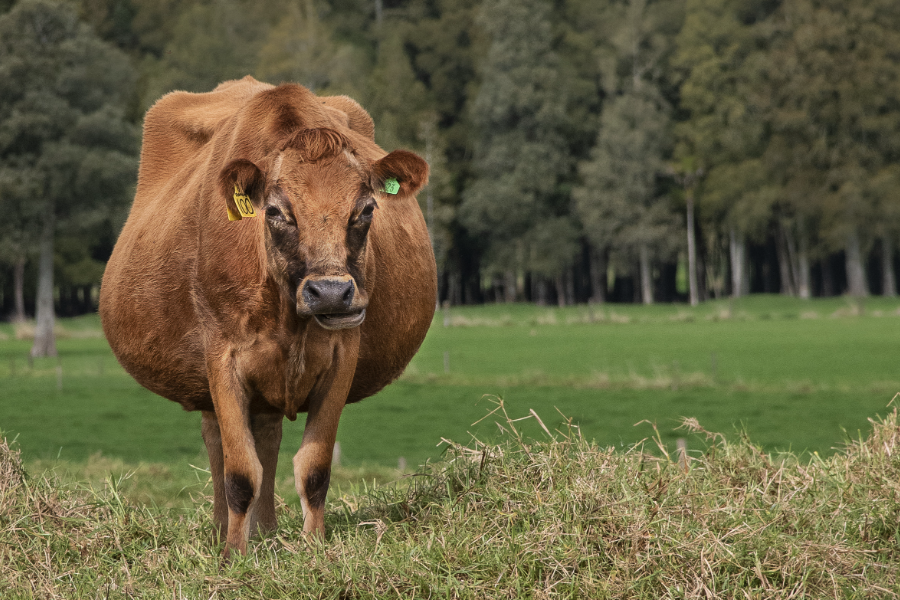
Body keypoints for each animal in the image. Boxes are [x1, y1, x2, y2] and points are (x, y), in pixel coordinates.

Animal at [98, 77, 436, 556]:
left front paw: (314, 549)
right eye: (276, 211)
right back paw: (226, 531)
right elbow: (240, 472)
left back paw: (267, 532)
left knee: (268, 437)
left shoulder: (342, 356)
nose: (329, 292)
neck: (287, 318)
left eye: (367, 209)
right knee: (219, 443)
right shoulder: (222, 358)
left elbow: (314, 468)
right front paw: (233, 556)